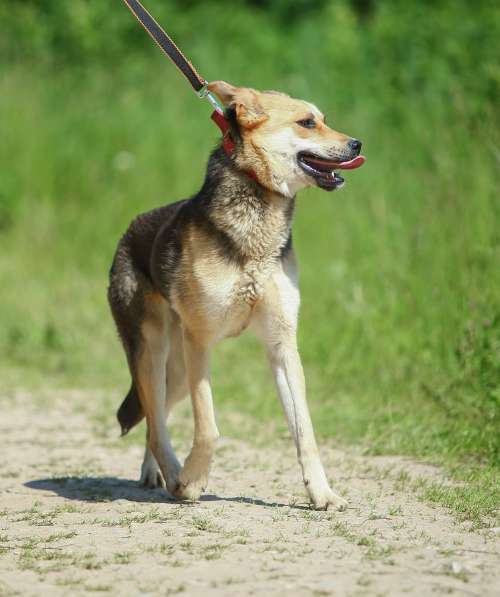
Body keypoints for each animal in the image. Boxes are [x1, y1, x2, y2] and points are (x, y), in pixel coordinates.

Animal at [108, 78, 364, 508]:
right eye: (307, 122)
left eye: (324, 119)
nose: (357, 144)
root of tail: (128, 232)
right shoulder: (199, 341)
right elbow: (209, 430)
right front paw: (193, 481)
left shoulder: (282, 343)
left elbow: (305, 431)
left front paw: (322, 493)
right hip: (153, 352)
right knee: (156, 425)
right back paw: (174, 477)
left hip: (176, 370)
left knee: (154, 419)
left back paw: (154, 473)